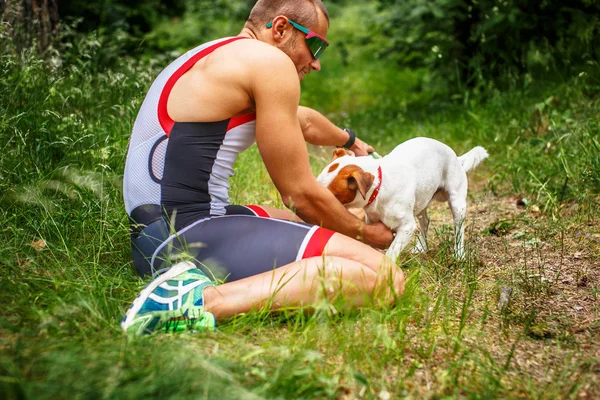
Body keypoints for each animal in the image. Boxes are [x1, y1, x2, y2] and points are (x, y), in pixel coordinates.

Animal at [316, 138, 490, 262]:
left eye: (331, 195)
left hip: (457, 202)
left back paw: (459, 253)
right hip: (421, 202)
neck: (380, 187)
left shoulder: (406, 227)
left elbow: (391, 252)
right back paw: (421, 247)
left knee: (459, 228)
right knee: (425, 222)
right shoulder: (371, 223)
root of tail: (456, 157)